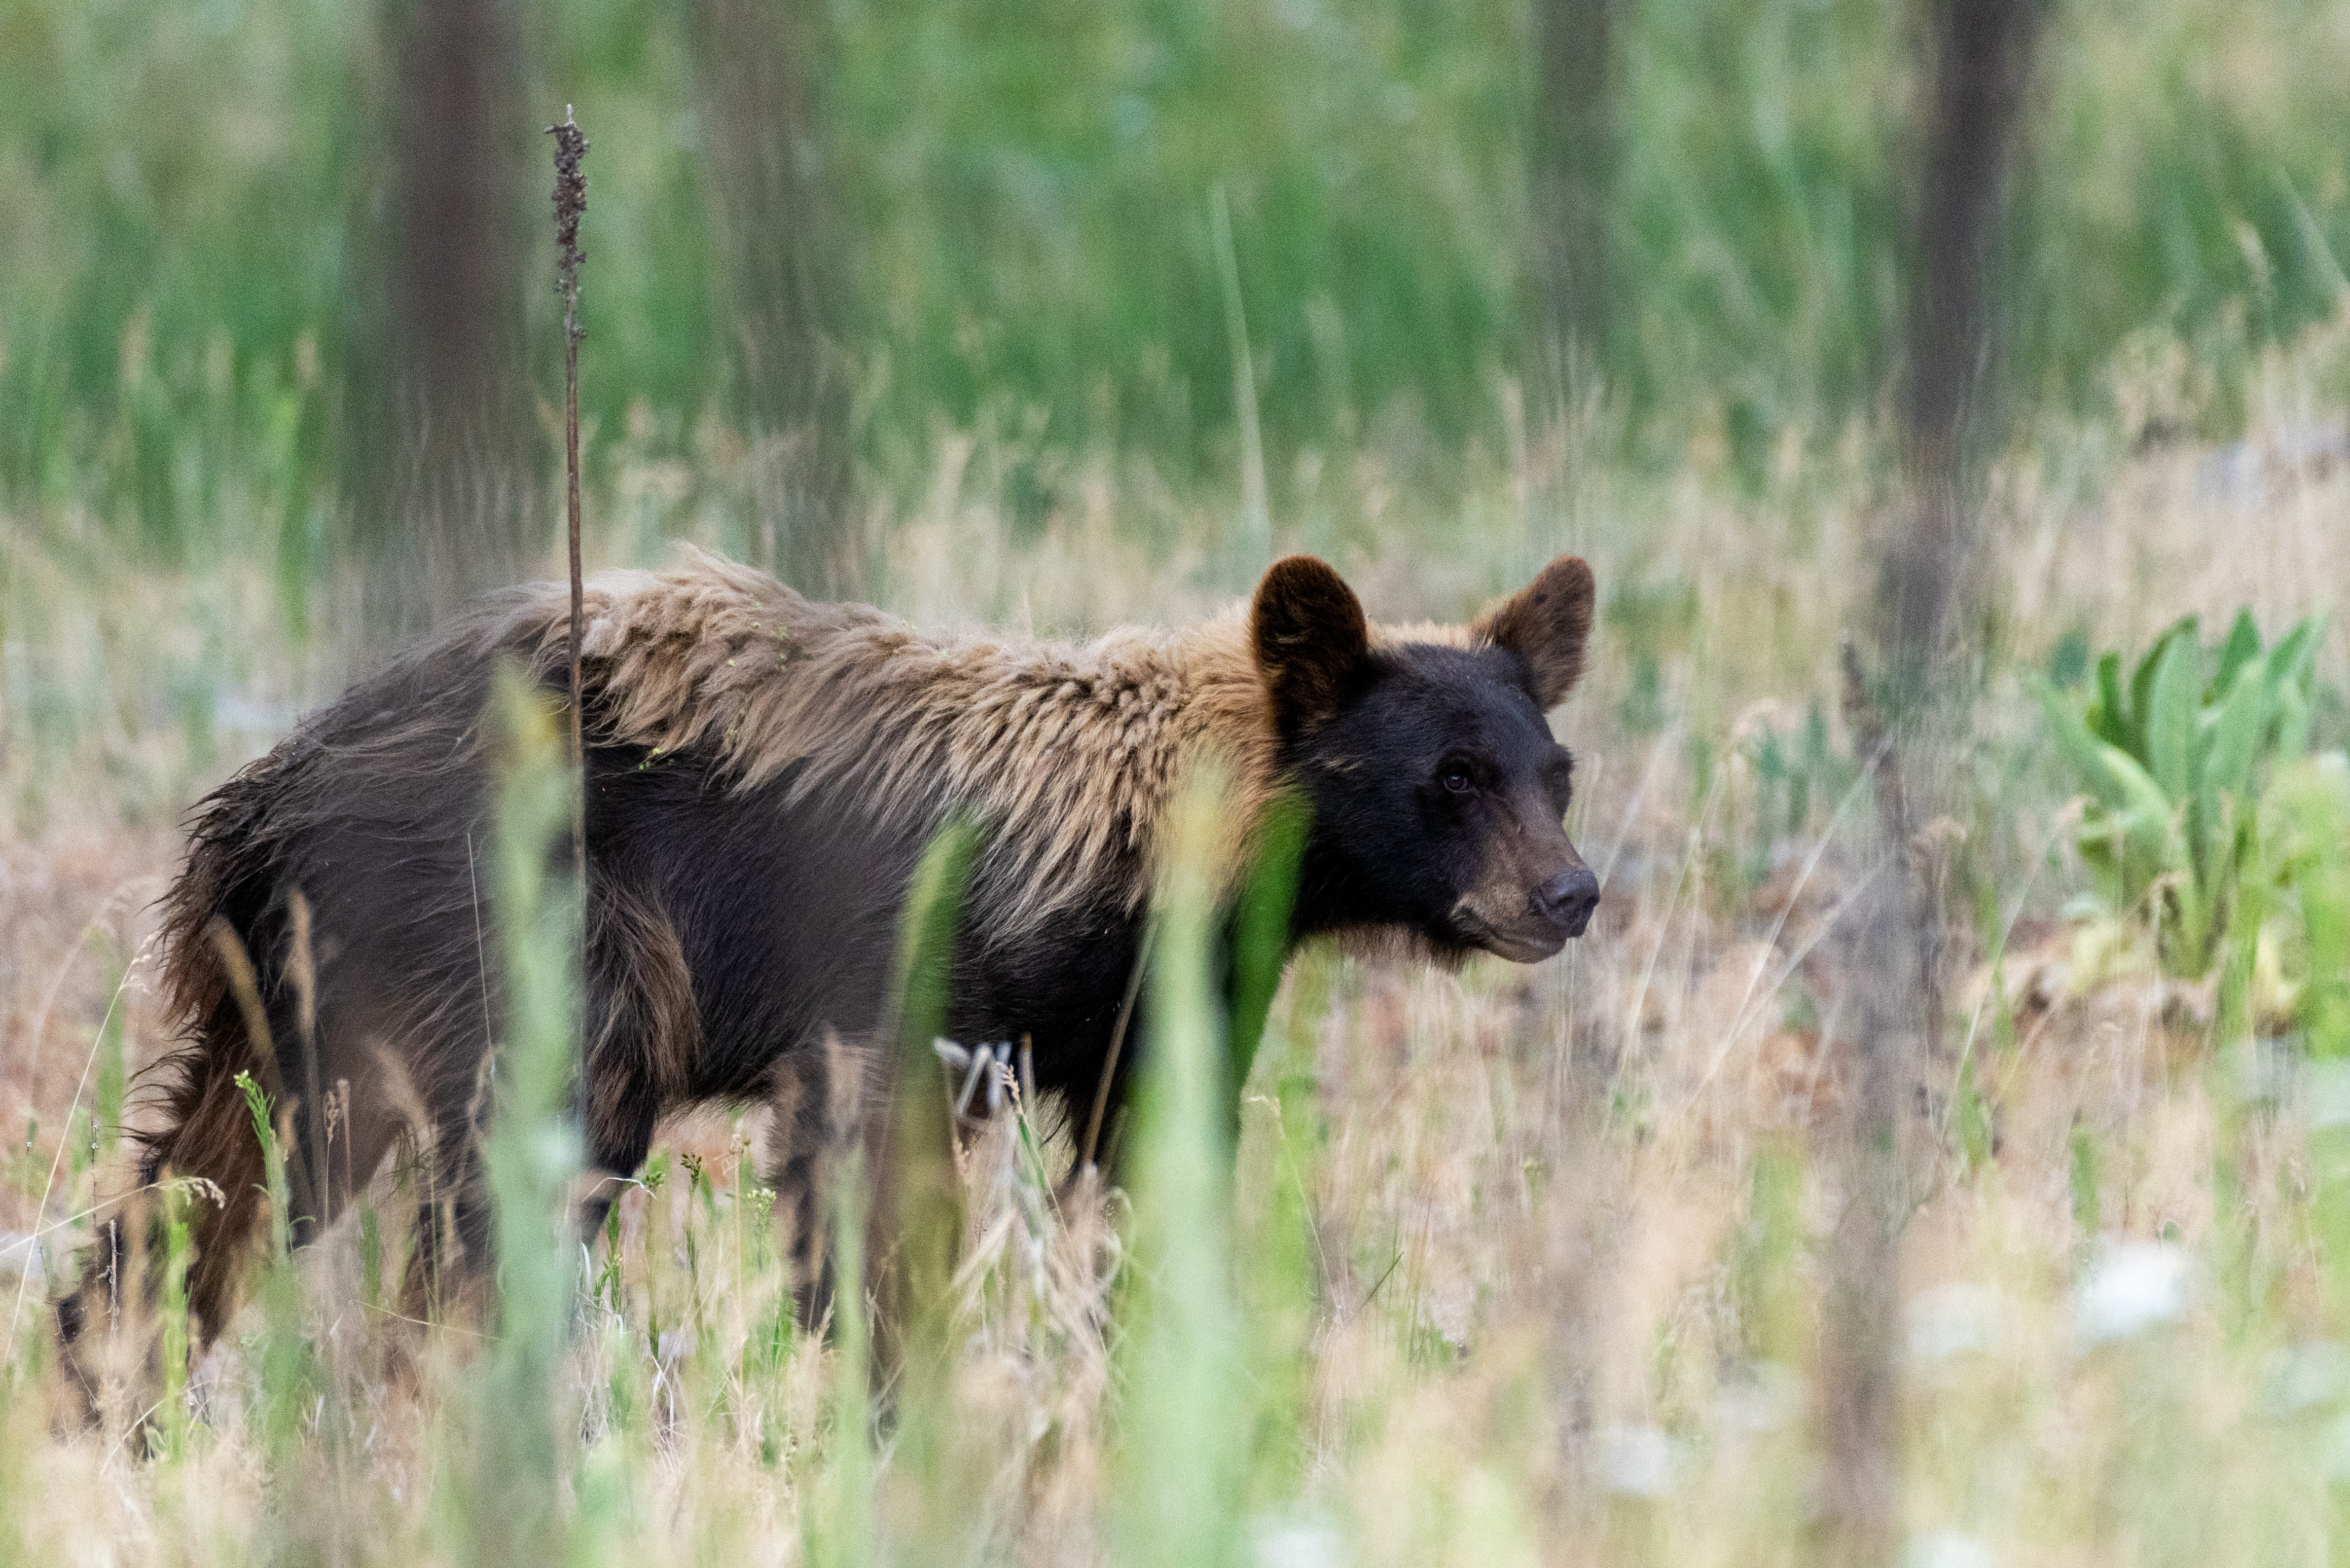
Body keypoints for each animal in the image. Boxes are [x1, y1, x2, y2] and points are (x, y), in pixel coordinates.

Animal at [59, 547, 1598, 1358]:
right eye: (1451, 776)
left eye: (1552, 767)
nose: (1571, 891)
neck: (1143, 840)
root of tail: (263, 790)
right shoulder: (907, 977)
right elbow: (867, 1181)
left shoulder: (1154, 1009)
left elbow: (1142, 1173)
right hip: (518, 946)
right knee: (486, 1184)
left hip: (281, 994)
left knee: (198, 1188)